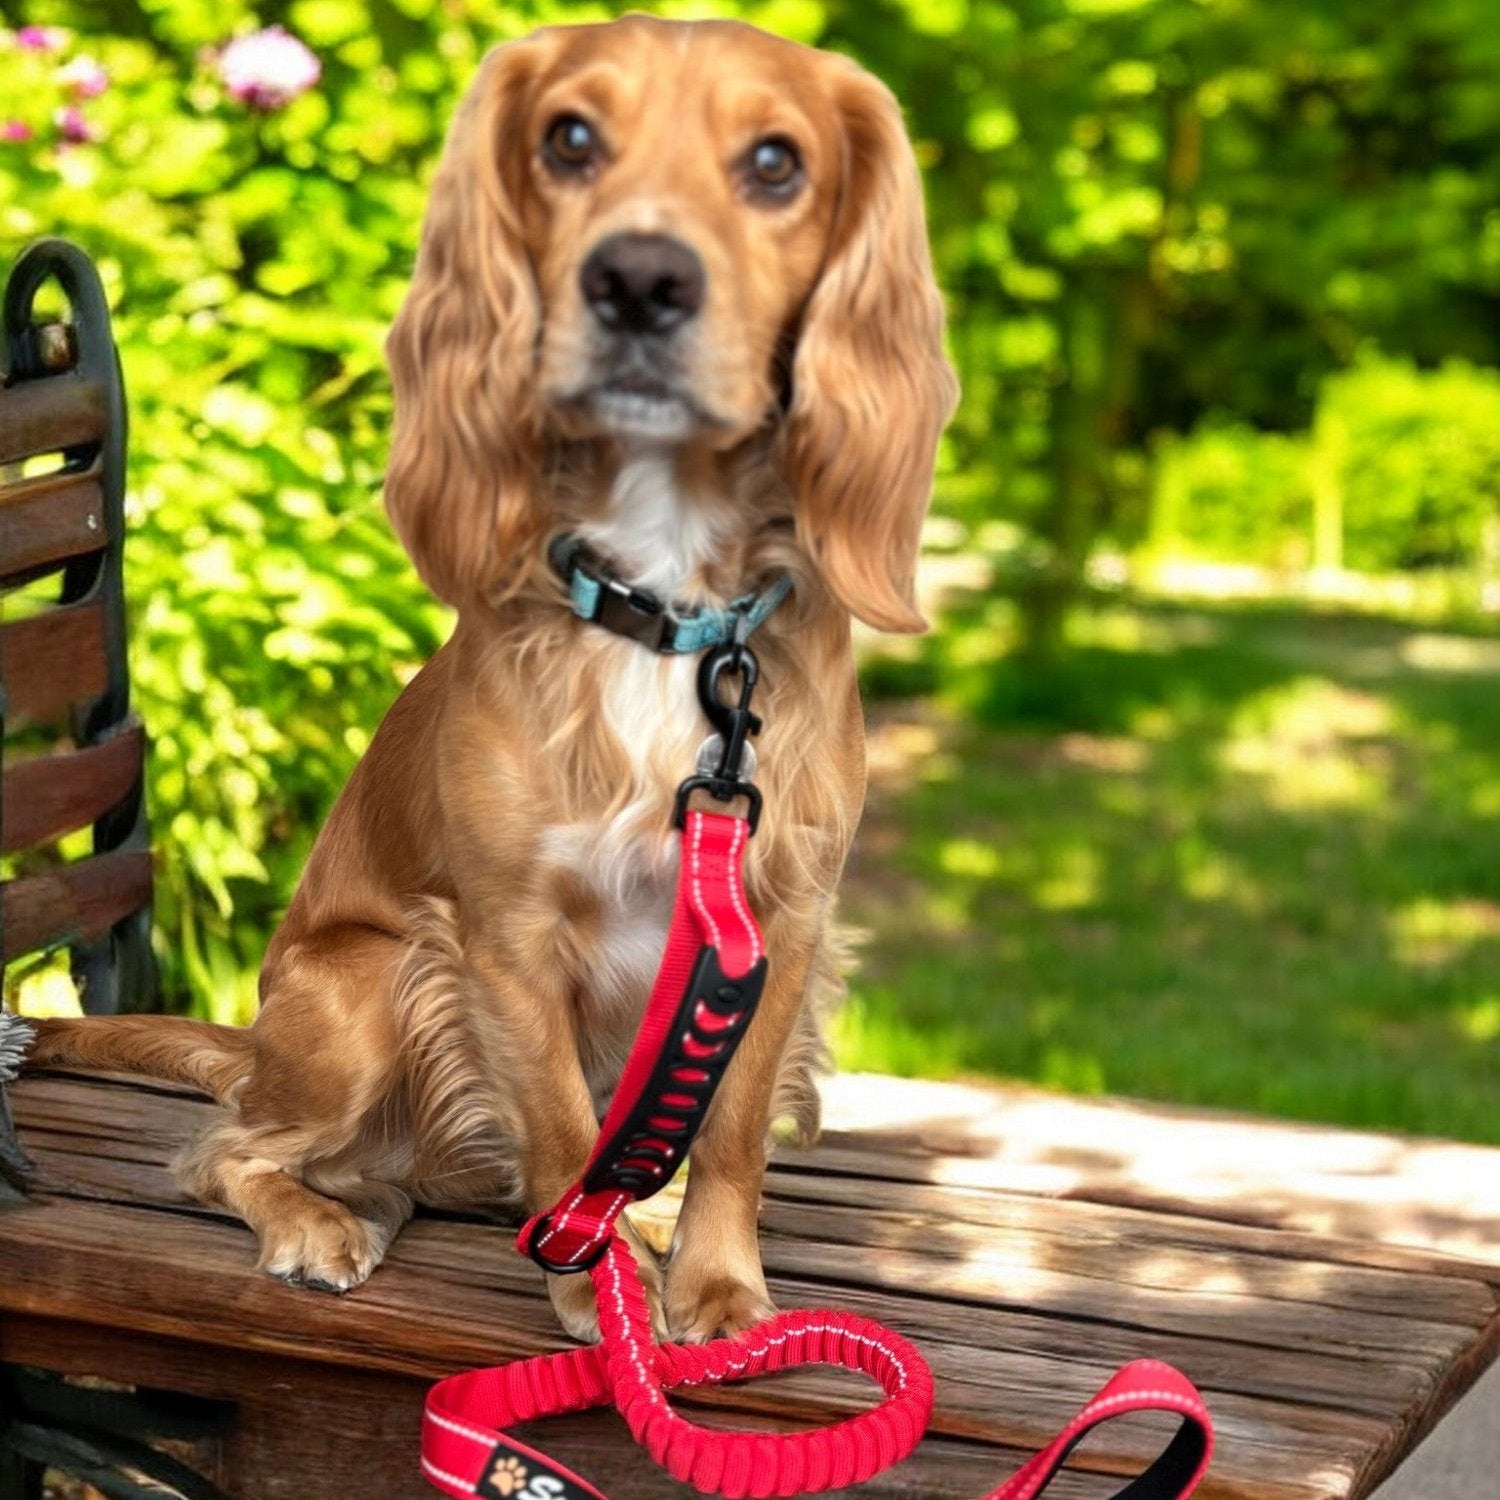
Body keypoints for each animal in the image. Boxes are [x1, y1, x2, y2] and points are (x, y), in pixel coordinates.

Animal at [20, 11, 960, 1344]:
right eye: (569, 138)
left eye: (777, 162)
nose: (638, 281)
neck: (664, 605)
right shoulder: (507, 938)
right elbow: (565, 1138)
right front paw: (600, 1303)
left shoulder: (778, 921)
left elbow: (729, 1134)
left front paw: (715, 1287)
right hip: (375, 985)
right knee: (228, 1152)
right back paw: (315, 1221)